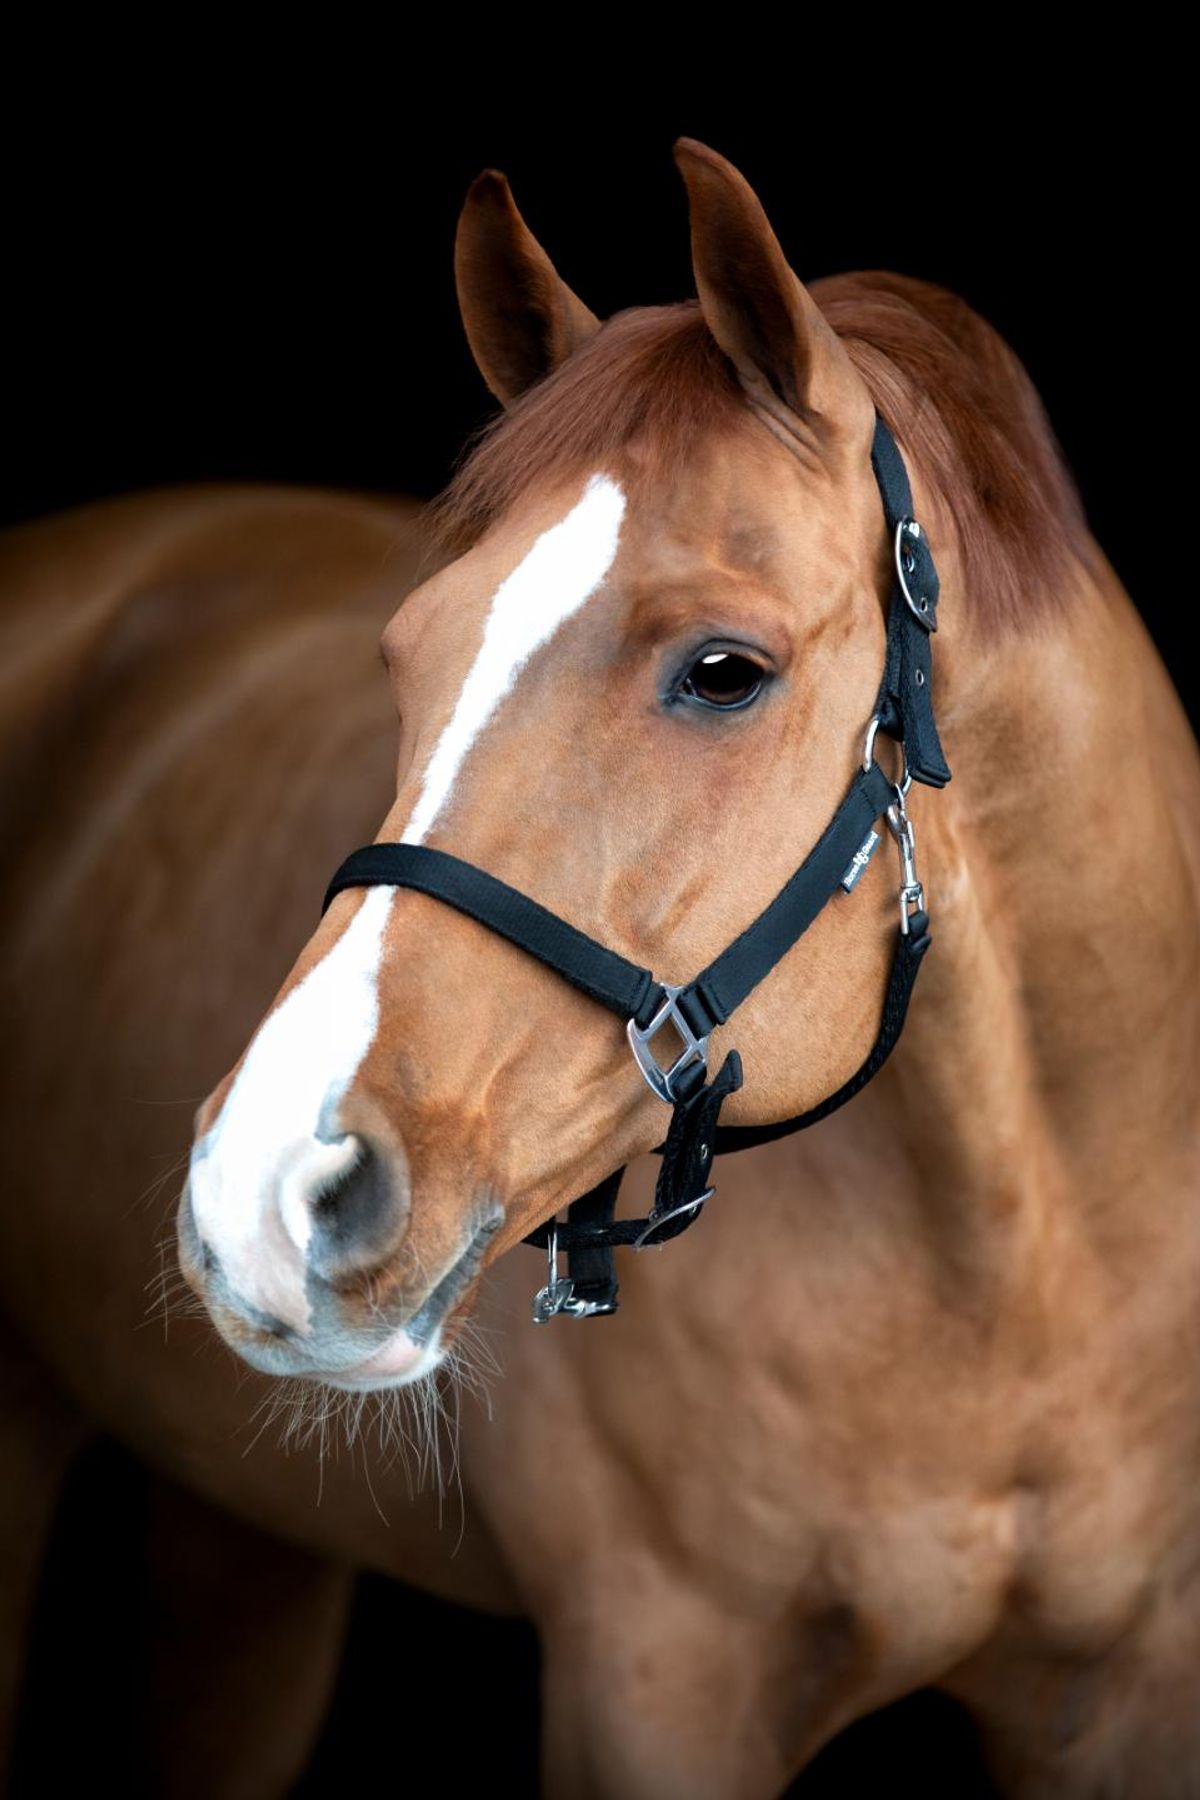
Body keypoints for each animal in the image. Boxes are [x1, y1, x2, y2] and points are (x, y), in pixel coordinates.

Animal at [2, 144, 1200, 1800]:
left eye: (725, 671)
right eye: (406, 652)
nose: (267, 1191)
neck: (1024, 1267)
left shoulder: (1132, 1692)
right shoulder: (658, 1683)